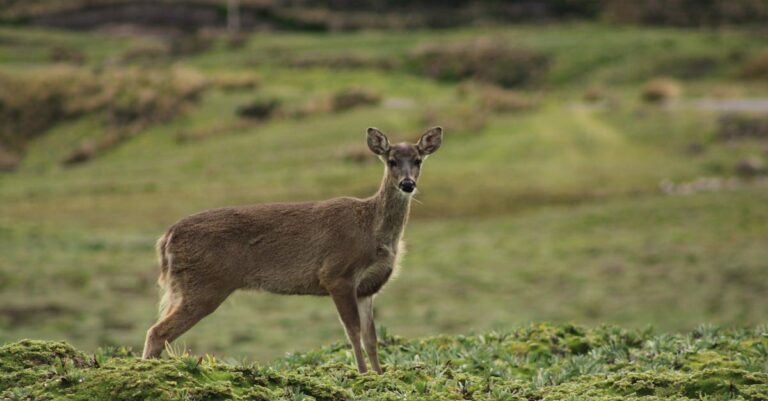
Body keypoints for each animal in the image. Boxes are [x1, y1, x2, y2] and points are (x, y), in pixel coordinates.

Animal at [142, 126, 443, 373]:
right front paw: (362, 374)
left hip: (184, 287)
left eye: (418, 160)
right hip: (203, 284)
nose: (407, 184)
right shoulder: (336, 274)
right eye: (391, 161)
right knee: (157, 331)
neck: (372, 230)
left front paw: (379, 375)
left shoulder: (368, 287)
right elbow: (353, 331)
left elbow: (371, 338)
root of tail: (166, 238)